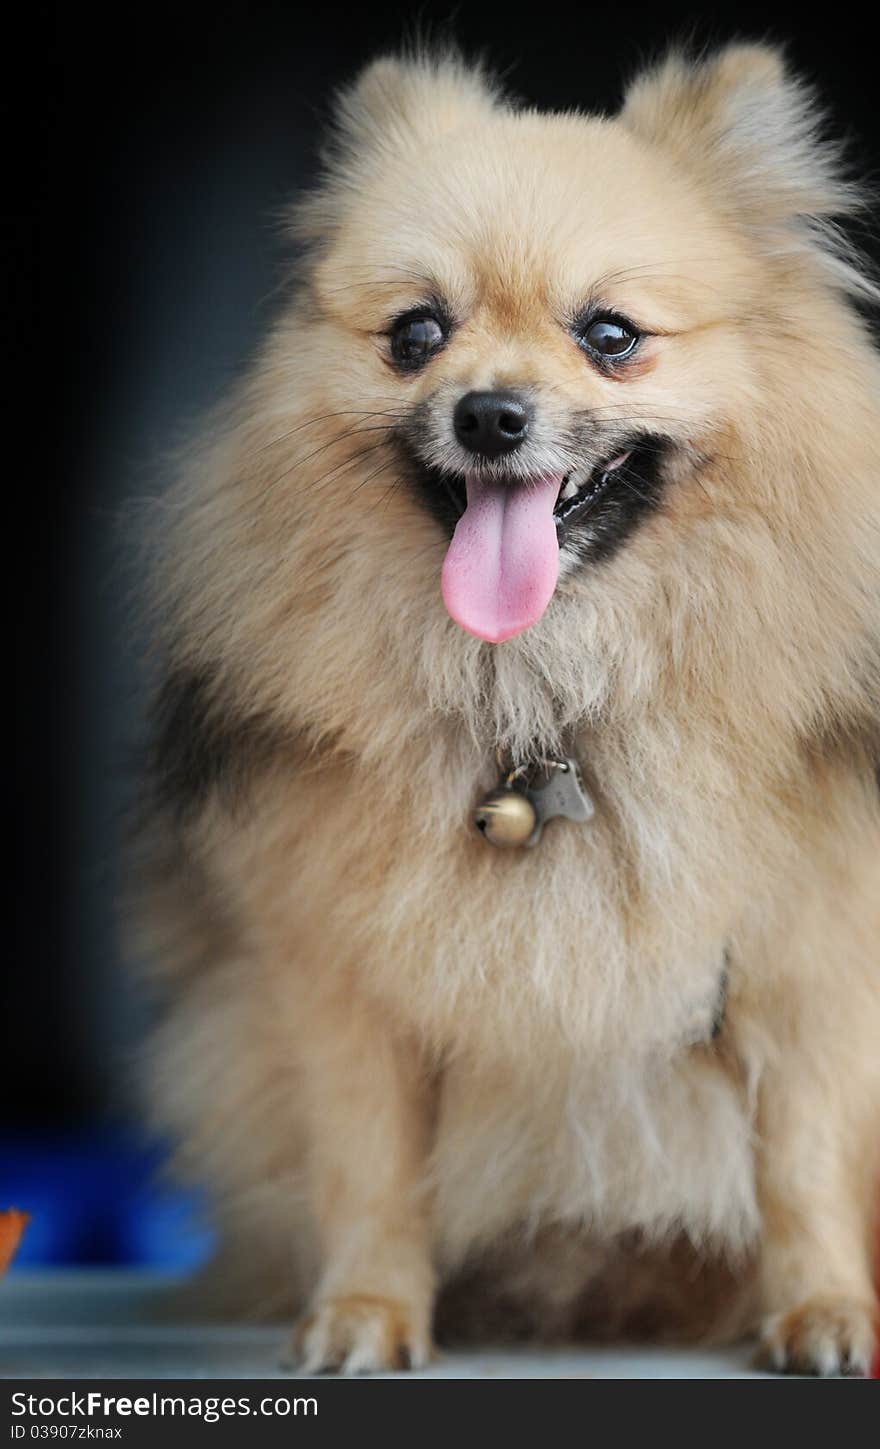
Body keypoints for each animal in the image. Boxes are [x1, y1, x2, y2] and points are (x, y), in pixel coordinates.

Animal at [134, 39, 875, 1373]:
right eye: (416, 334)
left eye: (610, 336)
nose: (487, 413)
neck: (546, 694)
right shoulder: (343, 979)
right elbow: (369, 1167)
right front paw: (367, 1312)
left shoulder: (811, 963)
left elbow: (802, 1164)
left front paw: (822, 1312)